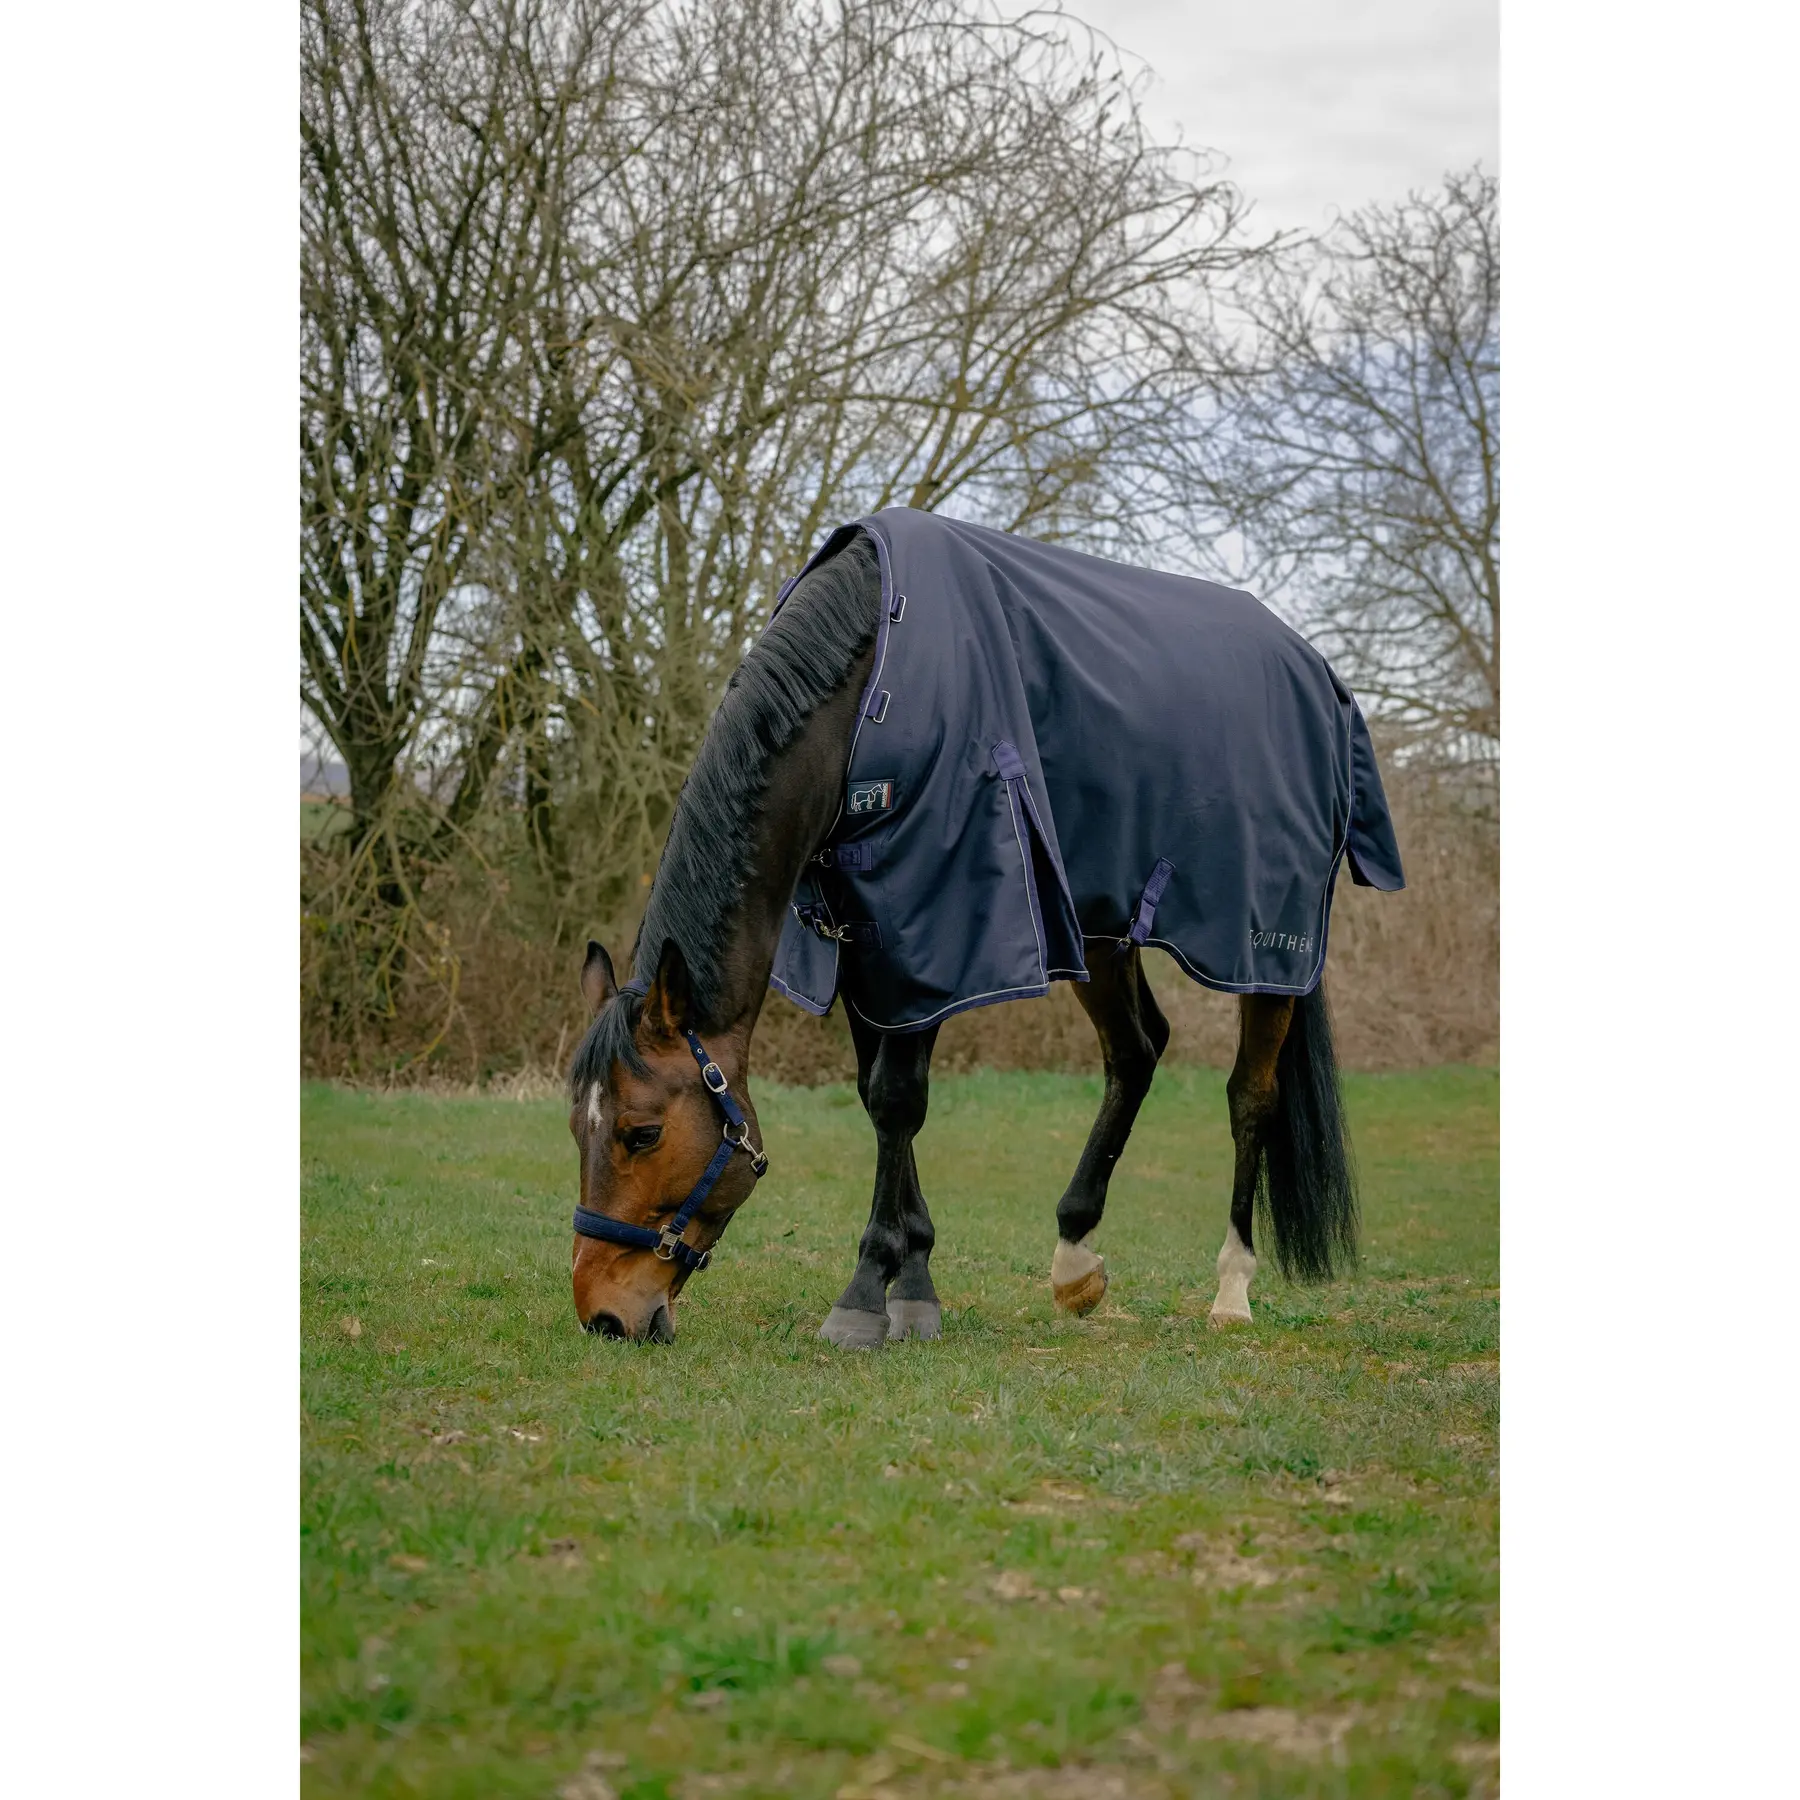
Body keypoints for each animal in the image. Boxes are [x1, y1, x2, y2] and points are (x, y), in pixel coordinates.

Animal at [565, 512, 1404, 1345]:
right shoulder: (863, 937)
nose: (604, 1315)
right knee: (1136, 1052)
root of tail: (1317, 673)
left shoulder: (931, 922)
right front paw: (914, 1283)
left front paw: (868, 1292)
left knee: (1250, 1095)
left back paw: (1232, 1288)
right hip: (1099, 927)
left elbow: (898, 1099)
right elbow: (877, 1098)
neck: (867, 686)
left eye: (641, 1133)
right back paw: (1074, 1258)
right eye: (577, 1127)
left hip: (1263, 943)